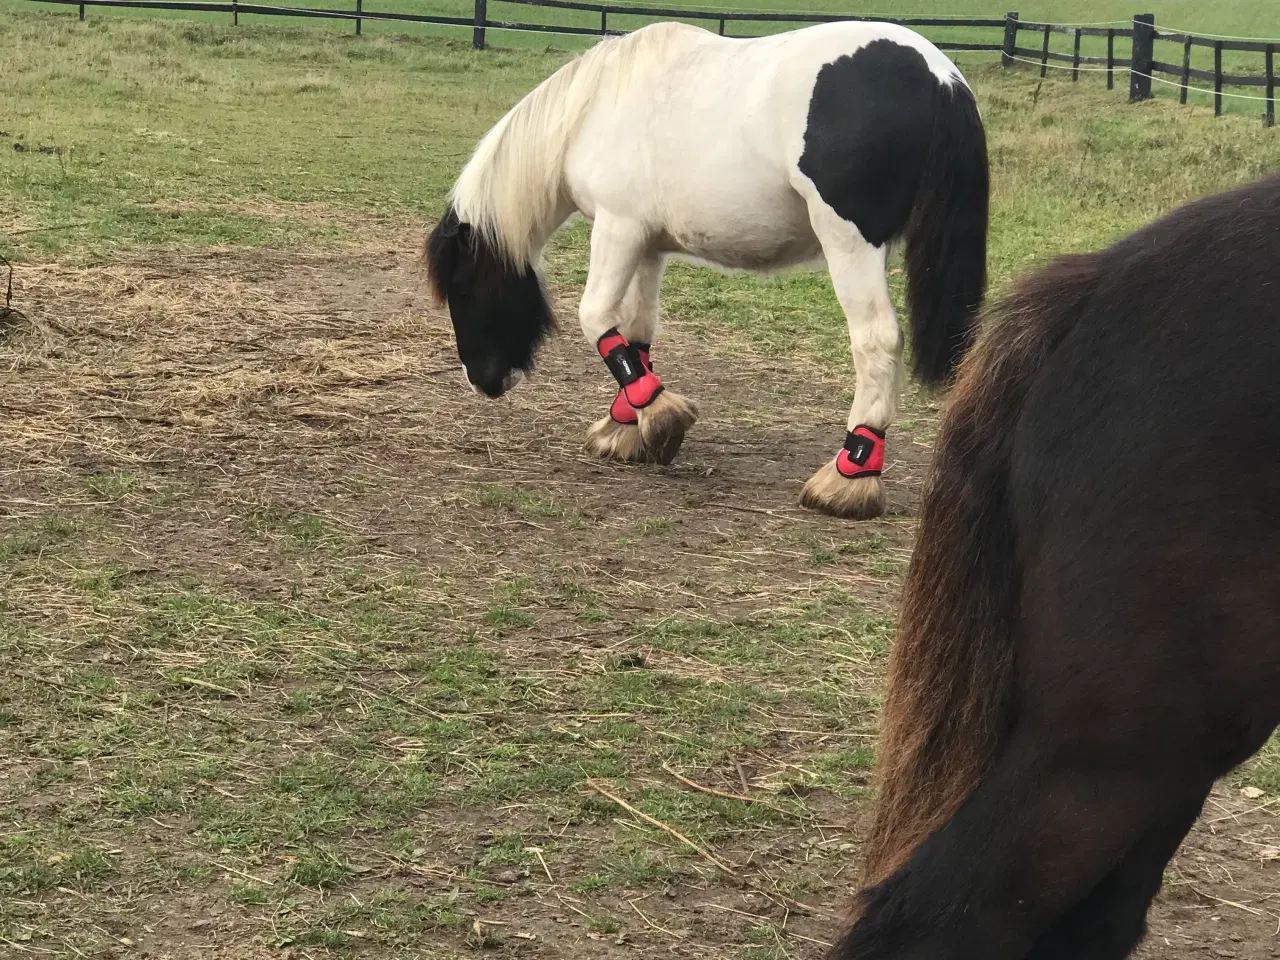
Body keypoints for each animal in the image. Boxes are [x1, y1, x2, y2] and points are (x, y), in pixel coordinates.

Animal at [424, 20, 983, 519]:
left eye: (463, 289)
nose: (481, 381)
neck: (590, 111)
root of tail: (939, 76)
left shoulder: (618, 228)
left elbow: (596, 315)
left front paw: (658, 414)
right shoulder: (648, 246)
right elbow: (636, 332)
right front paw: (631, 421)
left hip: (850, 243)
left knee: (877, 341)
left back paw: (850, 476)